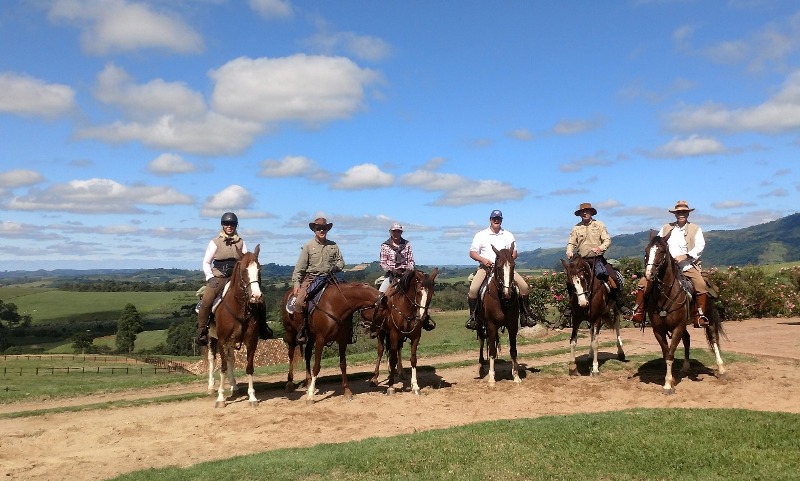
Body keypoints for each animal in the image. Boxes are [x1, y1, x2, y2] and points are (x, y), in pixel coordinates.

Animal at [205, 244, 264, 404]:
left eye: (259, 269)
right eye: (244, 270)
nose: (256, 296)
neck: (239, 308)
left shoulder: (251, 341)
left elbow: (249, 368)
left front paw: (252, 396)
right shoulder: (222, 341)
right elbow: (223, 367)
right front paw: (220, 397)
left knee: (231, 358)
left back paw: (234, 386)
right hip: (212, 338)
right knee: (212, 359)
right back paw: (211, 386)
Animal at [282, 274, 382, 402]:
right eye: (382, 310)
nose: (377, 330)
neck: (335, 305)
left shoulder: (342, 341)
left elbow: (343, 364)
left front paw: (347, 391)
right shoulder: (320, 340)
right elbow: (317, 366)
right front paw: (310, 396)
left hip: (311, 337)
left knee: (308, 353)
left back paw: (308, 383)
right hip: (290, 332)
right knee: (291, 354)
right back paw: (290, 382)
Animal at [368, 266, 438, 394]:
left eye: (432, 292)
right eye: (419, 291)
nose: (423, 316)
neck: (406, 308)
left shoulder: (415, 335)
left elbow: (413, 359)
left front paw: (415, 386)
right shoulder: (394, 334)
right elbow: (392, 358)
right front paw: (391, 386)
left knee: (397, 350)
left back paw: (400, 372)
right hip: (381, 333)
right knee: (381, 351)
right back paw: (375, 378)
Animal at [478, 244, 520, 382]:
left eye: (513, 265)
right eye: (498, 267)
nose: (508, 293)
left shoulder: (513, 326)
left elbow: (513, 350)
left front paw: (516, 375)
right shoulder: (491, 325)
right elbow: (491, 351)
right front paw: (492, 378)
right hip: (480, 324)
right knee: (482, 342)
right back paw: (481, 366)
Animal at [640, 232, 728, 394]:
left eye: (662, 251)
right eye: (647, 250)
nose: (649, 274)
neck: (665, 296)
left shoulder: (677, 327)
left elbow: (670, 354)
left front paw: (668, 385)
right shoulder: (658, 330)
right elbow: (667, 353)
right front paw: (671, 379)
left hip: (708, 319)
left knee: (713, 338)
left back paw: (722, 369)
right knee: (687, 340)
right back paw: (685, 367)